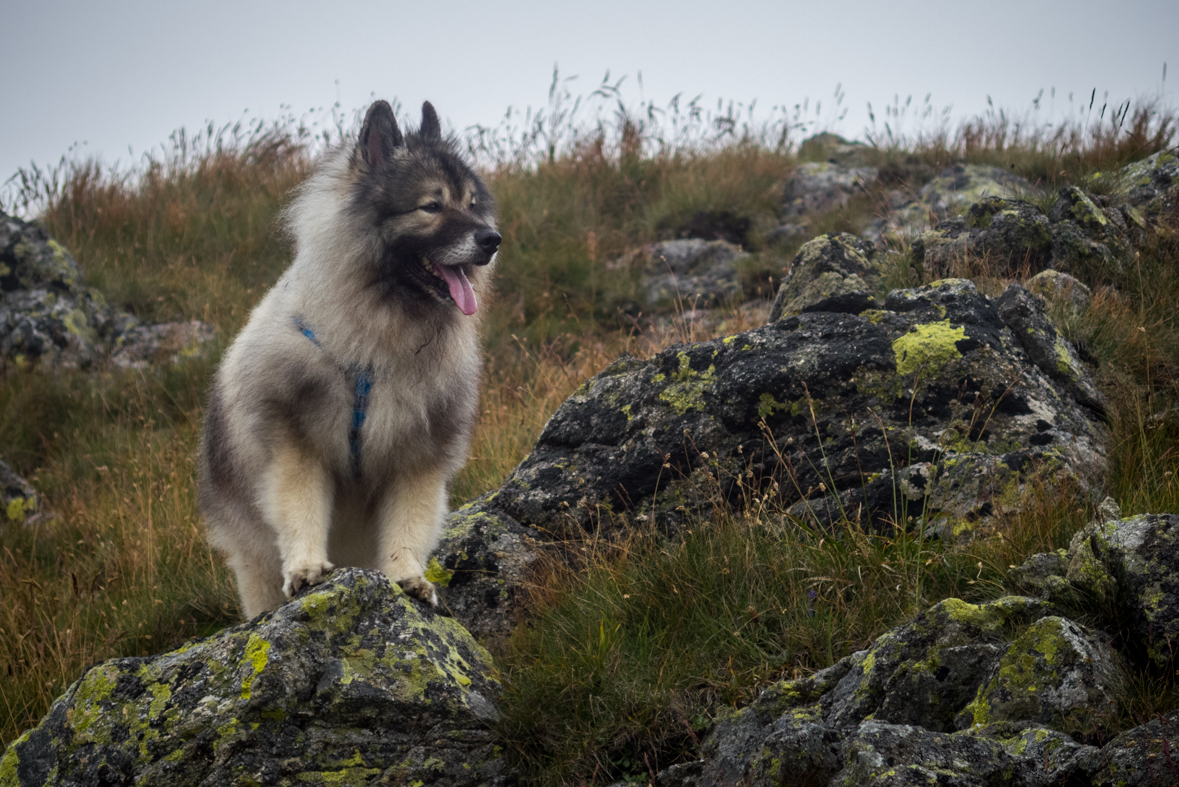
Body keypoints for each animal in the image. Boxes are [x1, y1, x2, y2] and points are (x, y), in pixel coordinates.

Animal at [199, 98, 502, 617]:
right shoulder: (297, 443)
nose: (492, 239)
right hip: (253, 563)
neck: (377, 345)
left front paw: (408, 578)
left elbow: (409, 523)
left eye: (471, 204)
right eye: (432, 206)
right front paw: (306, 569)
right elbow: (301, 507)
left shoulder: (418, 455)